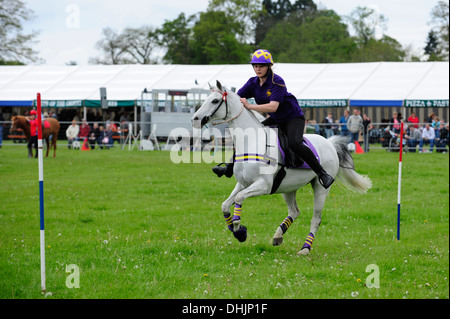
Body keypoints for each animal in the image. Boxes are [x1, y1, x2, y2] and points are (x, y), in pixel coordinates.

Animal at [192, 81, 370, 256]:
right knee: (294, 211)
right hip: (288, 187)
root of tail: (330, 143)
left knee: (316, 219)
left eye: (215, 101)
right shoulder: (242, 184)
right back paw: (278, 235)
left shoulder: (263, 185)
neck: (252, 141)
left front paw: (239, 229)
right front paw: (237, 230)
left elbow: (239, 199)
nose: (195, 119)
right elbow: (225, 205)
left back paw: (305, 248)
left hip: (320, 188)